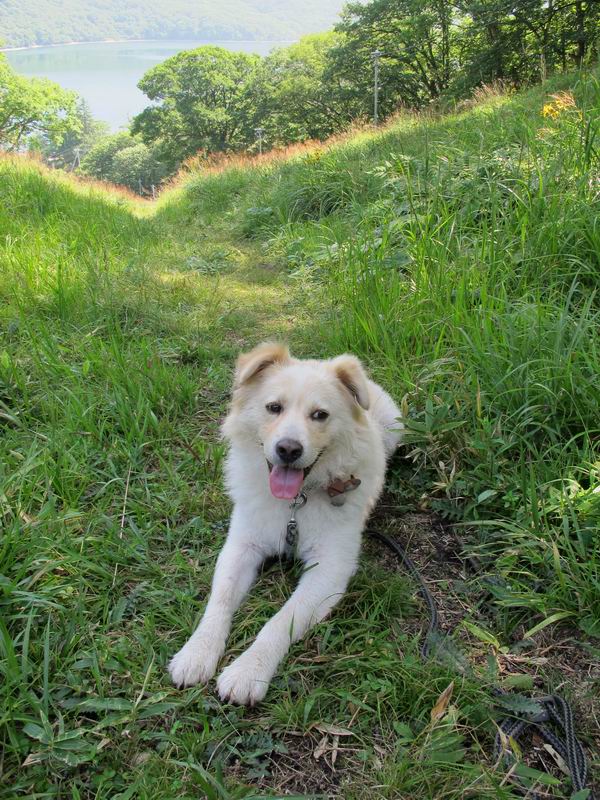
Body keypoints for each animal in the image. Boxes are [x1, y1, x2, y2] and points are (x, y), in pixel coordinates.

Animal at [168, 343, 402, 705]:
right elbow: (218, 602)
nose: (288, 449)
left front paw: (248, 671)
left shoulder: (329, 570)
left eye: (320, 415)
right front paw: (197, 653)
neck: (295, 504)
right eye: (273, 407)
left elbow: (280, 621)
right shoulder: (241, 547)